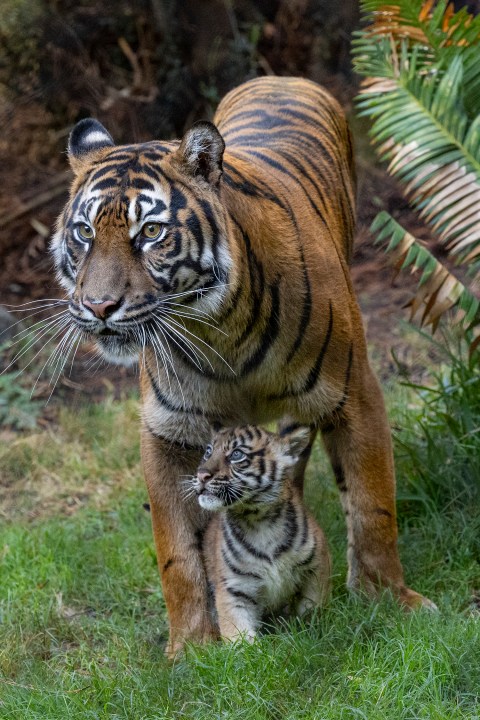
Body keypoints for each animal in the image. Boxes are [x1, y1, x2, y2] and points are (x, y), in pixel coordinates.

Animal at [52, 76, 436, 656]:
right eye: (84, 234)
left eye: (150, 234)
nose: (98, 307)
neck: (220, 332)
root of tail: (279, 78)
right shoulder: (167, 430)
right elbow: (177, 554)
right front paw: (189, 647)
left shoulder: (355, 394)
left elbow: (373, 507)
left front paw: (391, 600)